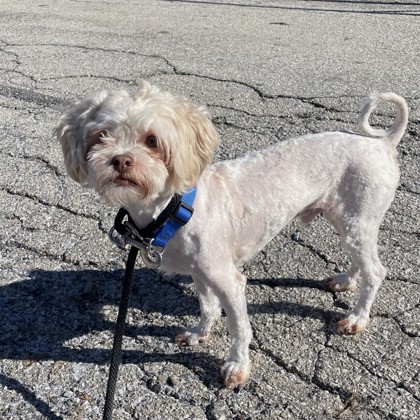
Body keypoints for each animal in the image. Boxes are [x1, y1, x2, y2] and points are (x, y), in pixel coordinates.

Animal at [56, 81, 408, 388]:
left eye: (153, 140)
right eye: (101, 136)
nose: (120, 160)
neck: (173, 209)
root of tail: (381, 143)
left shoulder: (228, 280)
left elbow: (239, 328)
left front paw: (237, 366)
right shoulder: (200, 273)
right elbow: (208, 307)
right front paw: (199, 333)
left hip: (357, 221)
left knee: (376, 271)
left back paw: (357, 318)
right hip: (347, 221)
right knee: (360, 260)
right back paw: (347, 281)